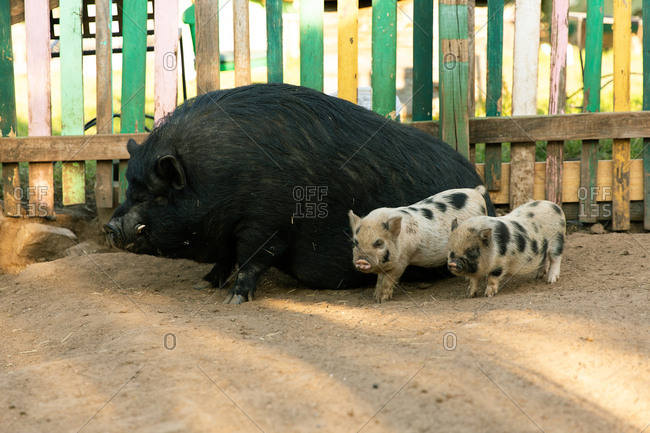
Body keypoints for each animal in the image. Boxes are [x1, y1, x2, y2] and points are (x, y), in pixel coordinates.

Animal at [348, 186, 488, 303]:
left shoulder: (402, 261)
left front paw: (381, 300)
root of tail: (476, 192)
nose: (361, 261)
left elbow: (388, 279)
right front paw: (375, 297)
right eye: (355, 243)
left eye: (378, 243)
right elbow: (380, 280)